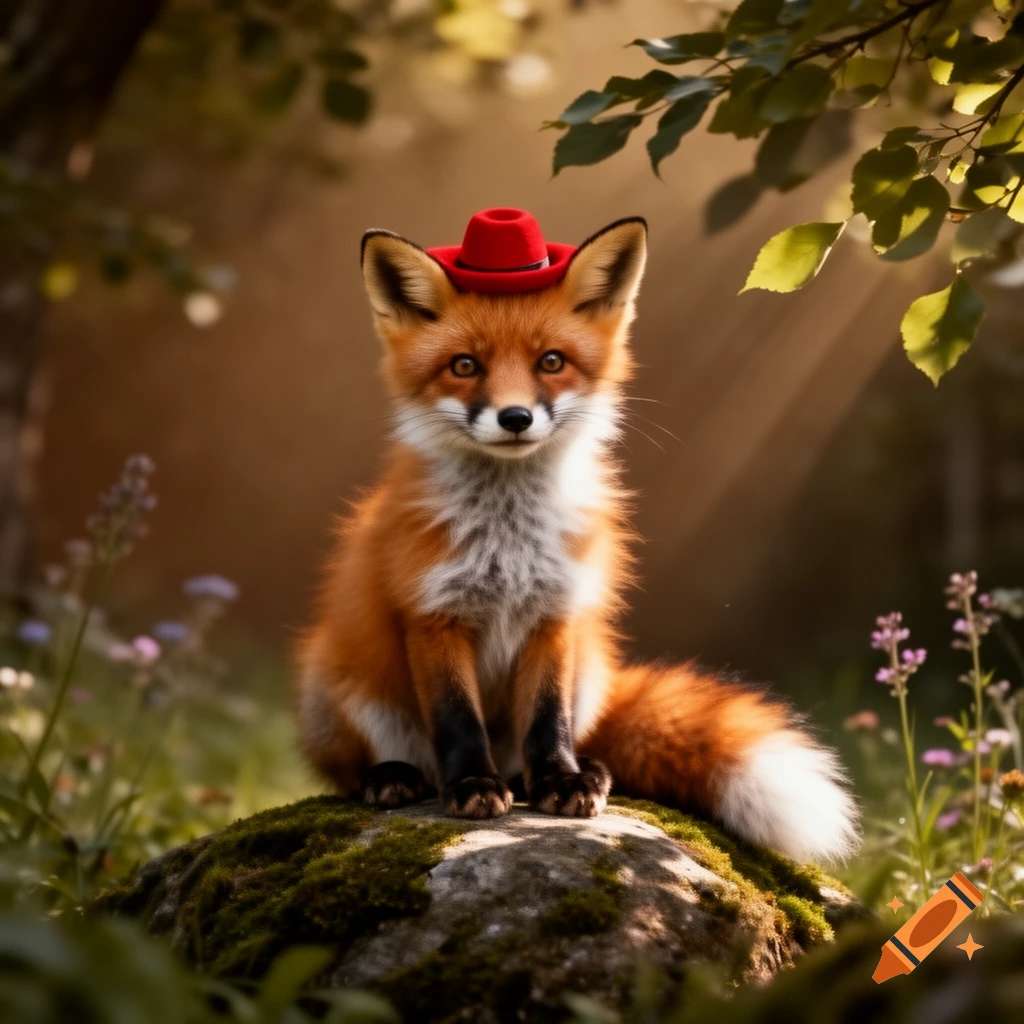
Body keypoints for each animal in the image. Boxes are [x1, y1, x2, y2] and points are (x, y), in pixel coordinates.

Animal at [296, 209, 859, 863]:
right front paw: (472, 785)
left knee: (549, 744)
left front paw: (561, 781)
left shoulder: (556, 612)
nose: (515, 417)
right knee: (358, 768)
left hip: (589, 671)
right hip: (342, 685)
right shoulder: (433, 615)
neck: (507, 540)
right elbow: (457, 720)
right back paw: (394, 777)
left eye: (551, 361)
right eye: (464, 366)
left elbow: (549, 720)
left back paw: (562, 774)